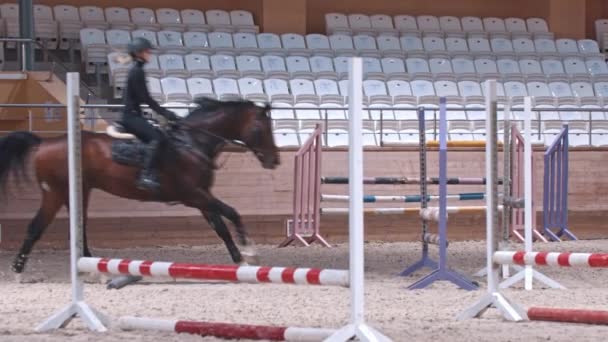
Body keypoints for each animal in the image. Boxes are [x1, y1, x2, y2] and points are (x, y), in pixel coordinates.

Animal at [0, 97, 280, 278]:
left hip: (77, 191)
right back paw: (20, 271)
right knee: (39, 226)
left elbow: (220, 227)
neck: (192, 143)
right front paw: (250, 251)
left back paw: (87, 268)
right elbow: (232, 212)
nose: (274, 160)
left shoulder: (202, 197)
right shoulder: (193, 195)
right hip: (57, 191)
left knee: (69, 228)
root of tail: (43, 143)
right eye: (261, 128)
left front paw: (241, 261)